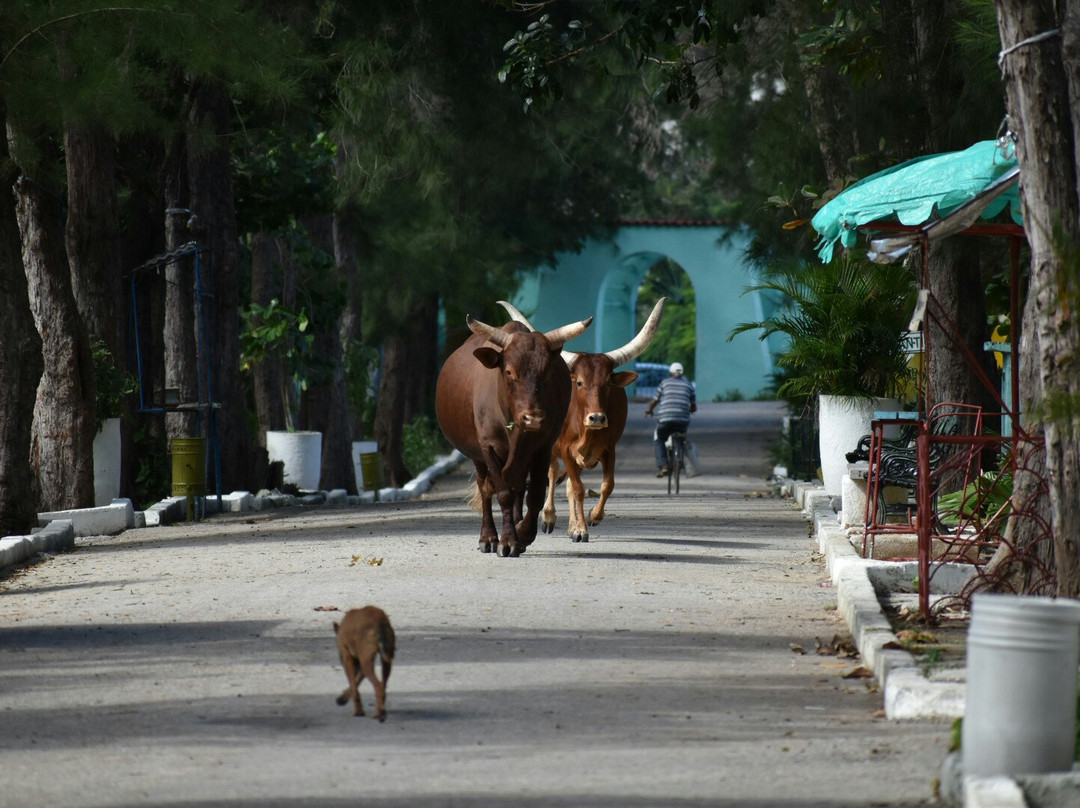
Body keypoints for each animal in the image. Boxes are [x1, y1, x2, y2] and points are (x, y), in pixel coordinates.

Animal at [434, 311, 596, 557]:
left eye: (546, 372)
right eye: (509, 371)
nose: (533, 418)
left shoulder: (542, 447)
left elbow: (535, 493)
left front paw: (523, 534)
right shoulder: (488, 448)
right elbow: (502, 493)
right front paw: (507, 540)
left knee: (519, 487)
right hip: (477, 455)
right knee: (485, 487)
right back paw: (488, 537)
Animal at [498, 298, 665, 542]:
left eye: (607, 382)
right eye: (579, 383)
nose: (596, 417)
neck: (587, 432)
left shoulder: (609, 449)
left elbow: (606, 485)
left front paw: (592, 517)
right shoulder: (565, 449)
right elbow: (577, 488)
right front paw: (580, 529)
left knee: (567, 484)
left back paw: (571, 524)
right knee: (553, 476)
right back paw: (550, 517)